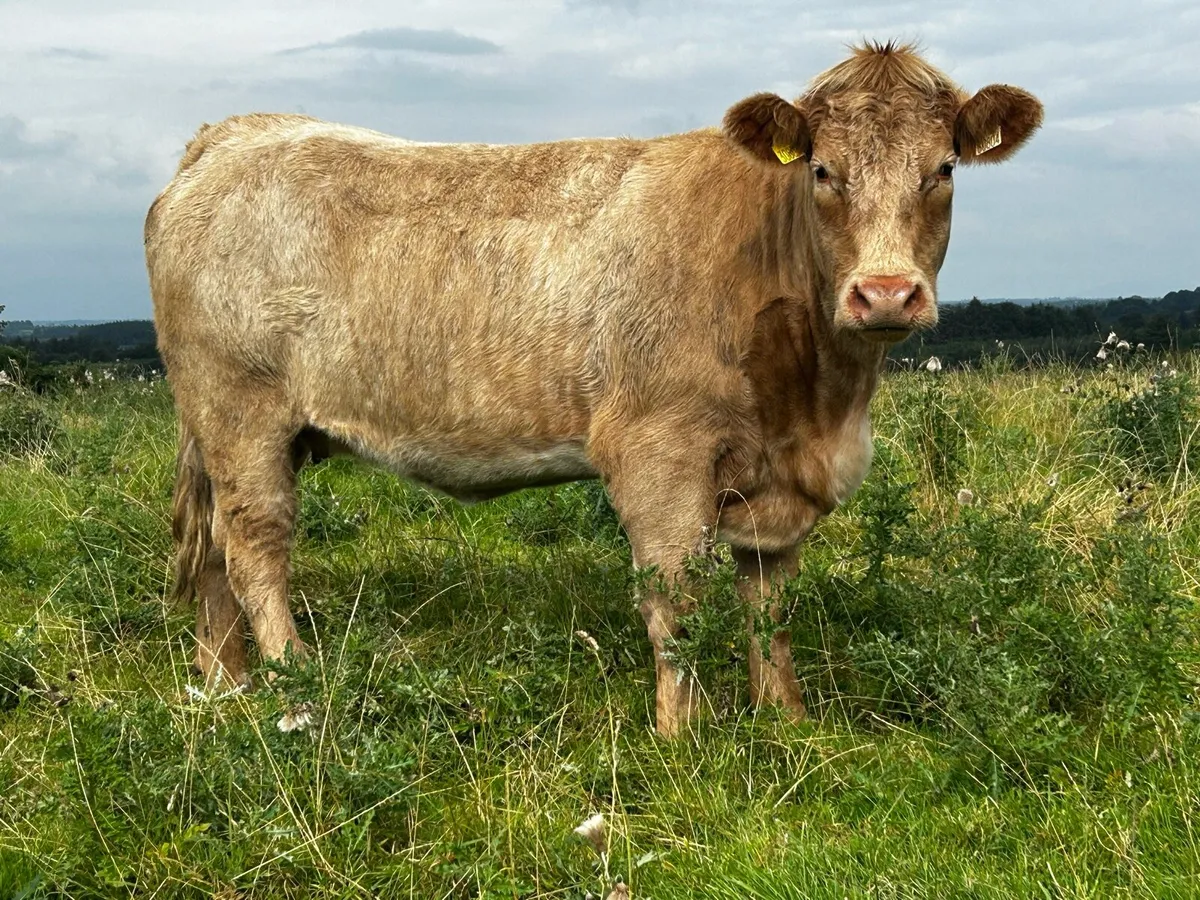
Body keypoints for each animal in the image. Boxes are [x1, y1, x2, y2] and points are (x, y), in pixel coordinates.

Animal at [145, 41, 1042, 737]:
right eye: (823, 170)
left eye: (943, 170)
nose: (885, 294)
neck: (819, 405)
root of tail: (235, 134)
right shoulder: (658, 451)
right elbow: (674, 595)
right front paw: (684, 738)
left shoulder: (778, 481)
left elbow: (770, 603)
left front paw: (784, 719)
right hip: (241, 410)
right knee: (256, 548)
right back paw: (298, 691)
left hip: (237, 430)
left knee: (216, 552)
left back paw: (225, 690)